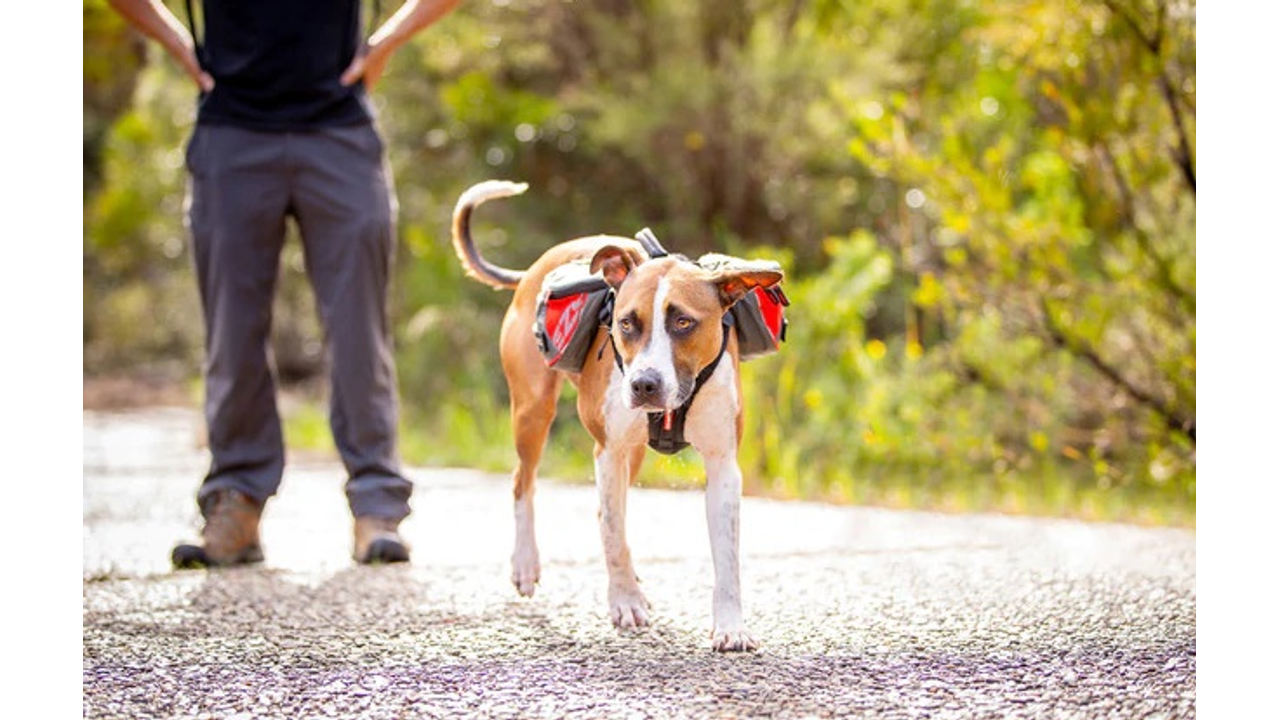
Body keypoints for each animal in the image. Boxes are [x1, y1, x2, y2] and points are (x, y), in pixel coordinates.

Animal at [455, 179, 783, 650]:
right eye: (627, 323)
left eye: (683, 322)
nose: (644, 384)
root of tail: (538, 266)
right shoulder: (606, 452)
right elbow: (613, 534)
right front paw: (625, 600)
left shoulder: (723, 466)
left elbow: (727, 556)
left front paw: (730, 625)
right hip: (534, 413)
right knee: (524, 483)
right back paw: (526, 564)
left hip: (633, 452)